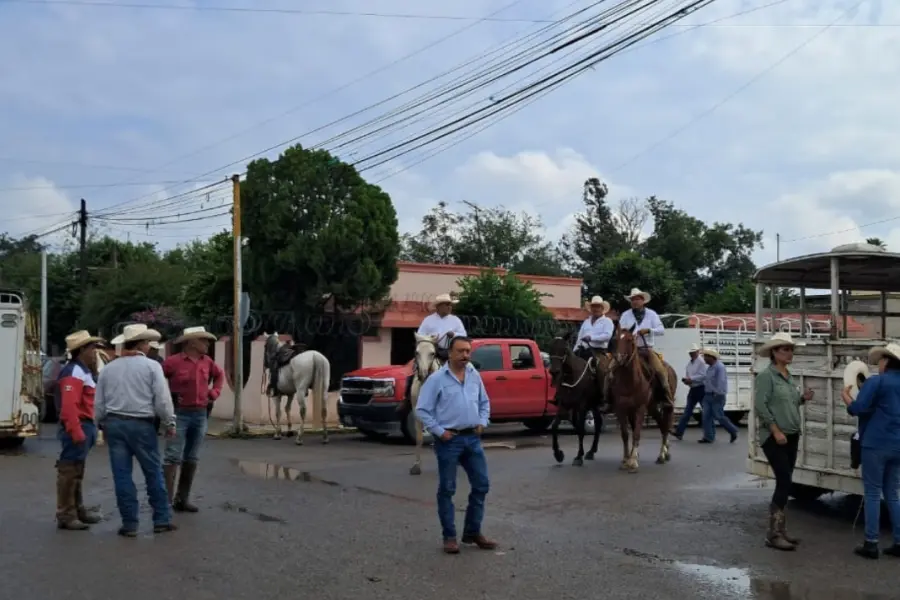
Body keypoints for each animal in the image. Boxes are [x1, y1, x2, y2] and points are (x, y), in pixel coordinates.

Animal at [544, 336, 608, 466]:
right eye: (550, 348)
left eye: (564, 349)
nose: (554, 372)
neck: (571, 376)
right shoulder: (564, 405)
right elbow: (555, 426)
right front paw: (558, 454)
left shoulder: (582, 406)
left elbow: (581, 430)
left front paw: (578, 456)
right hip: (593, 405)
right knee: (598, 422)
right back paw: (591, 451)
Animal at [608, 328, 680, 474]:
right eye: (615, 339)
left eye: (630, 339)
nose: (618, 358)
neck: (630, 382)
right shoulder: (621, 409)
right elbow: (625, 434)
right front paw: (626, 459)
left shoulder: (640, 408)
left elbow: (636, 433)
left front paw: (633, 462)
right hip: (652, 407)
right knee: (662, 424)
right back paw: (664, 453)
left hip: (665, 405)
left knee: (666, 425)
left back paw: (662, 455)